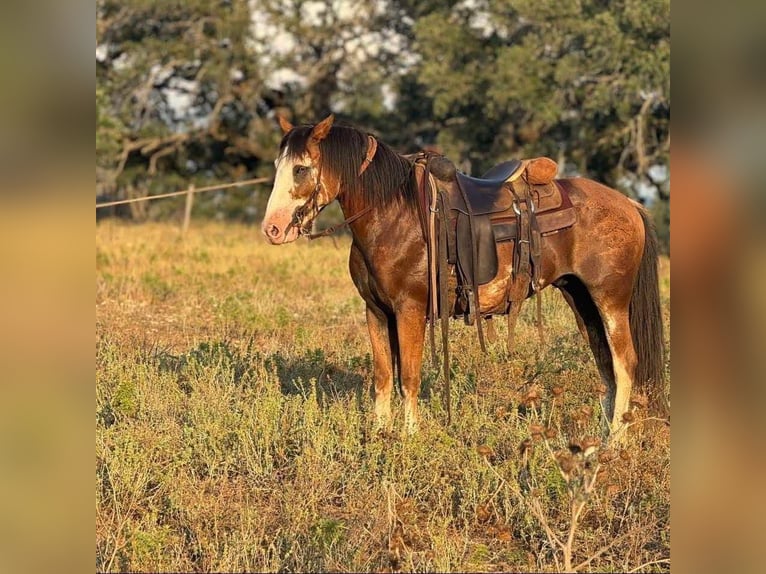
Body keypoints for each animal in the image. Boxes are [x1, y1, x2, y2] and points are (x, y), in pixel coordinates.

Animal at [261, 114, 667, 437]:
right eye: (278, 166)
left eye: (301, 168)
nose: (273, 229)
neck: (393, 214)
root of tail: (629, 203)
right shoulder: (375, 311)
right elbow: (383, 377)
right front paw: (379, 435)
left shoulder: (410, 311)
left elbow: (409, 377)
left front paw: (410, 438)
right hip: (581, 298)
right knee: (606, 364)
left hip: (610, 299)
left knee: (624, 363)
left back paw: (615, 441)